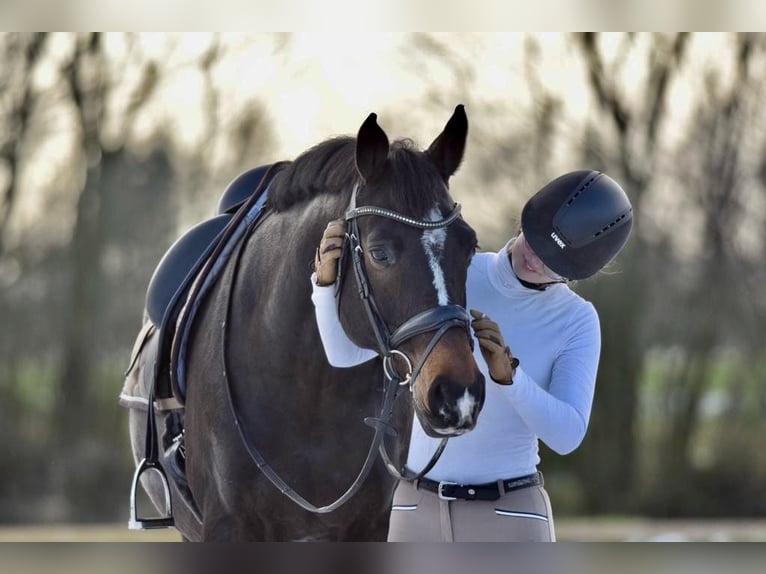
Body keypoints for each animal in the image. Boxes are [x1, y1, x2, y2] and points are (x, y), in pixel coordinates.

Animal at [125, 106, 486, 544]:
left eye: (469, 246)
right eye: (380, 253)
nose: (457, 393)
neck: (307, 386)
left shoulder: (369, 525)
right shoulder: (228, 526)